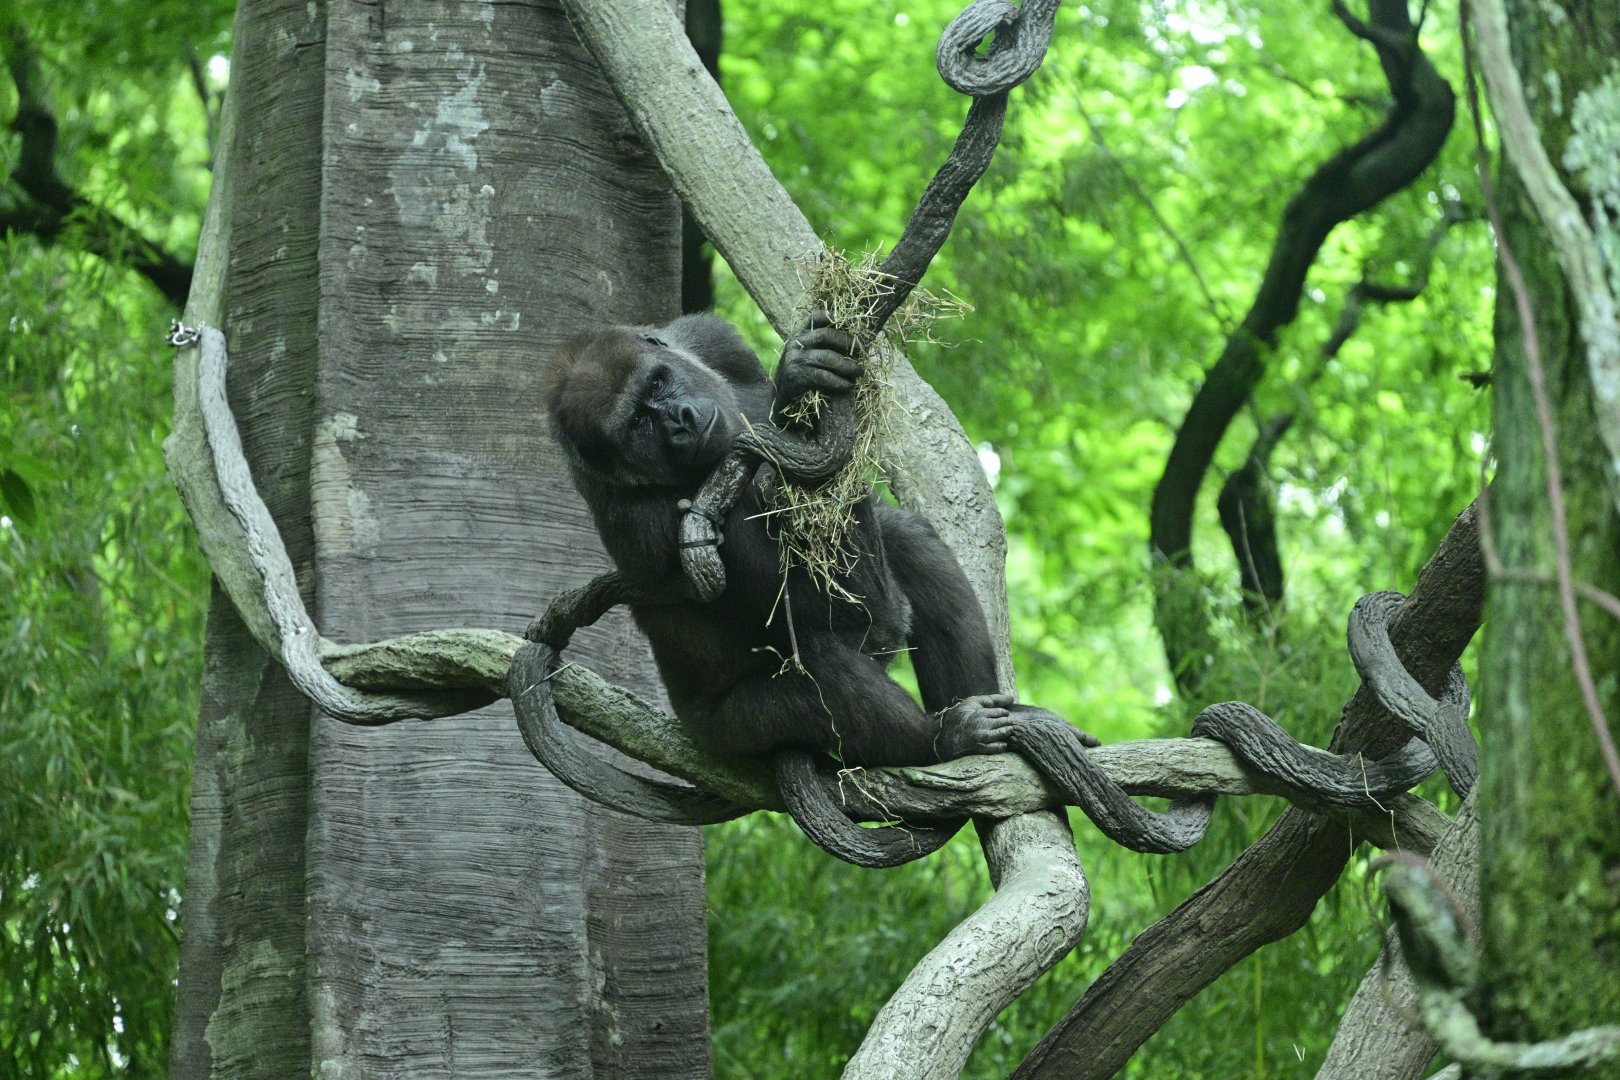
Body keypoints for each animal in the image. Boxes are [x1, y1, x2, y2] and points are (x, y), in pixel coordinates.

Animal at [541, 312, 1093, 860]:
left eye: (657, 383)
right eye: (638, 423)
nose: (679, 420)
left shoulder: (710, 337)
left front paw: (803, 376)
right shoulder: (641, 521)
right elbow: (852, 612)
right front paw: (792, 415)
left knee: (908, 540)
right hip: (726, 734)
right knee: (824, 670)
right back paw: (941, 738)